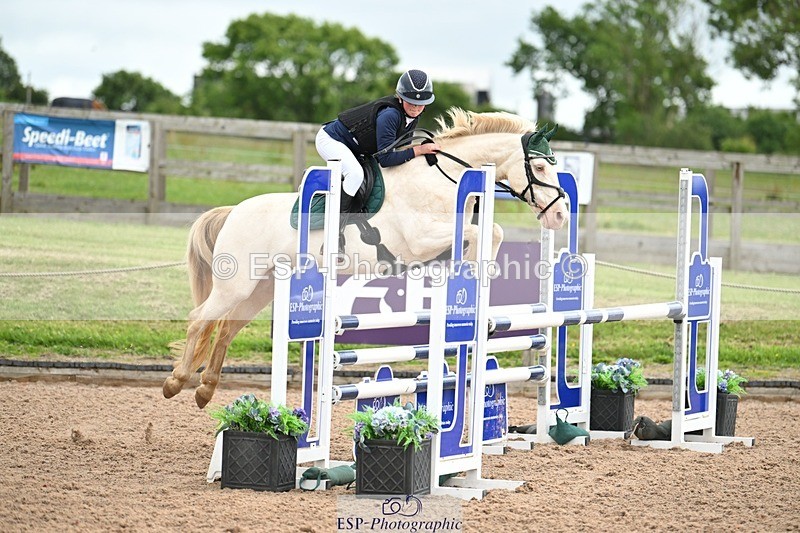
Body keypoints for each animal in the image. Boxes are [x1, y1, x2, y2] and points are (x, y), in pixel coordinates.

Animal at [162, 107, 569, 408]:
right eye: (541, 167)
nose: (561, 215)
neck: (442, 179)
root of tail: (233, 211)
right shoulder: (420, 241)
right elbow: (484, 234)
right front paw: (472, 277)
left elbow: (491, 233)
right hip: (235, 285)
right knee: (200, 320)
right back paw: (176, 382)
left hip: (260, 289)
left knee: (227, 327)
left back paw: (205, 390)